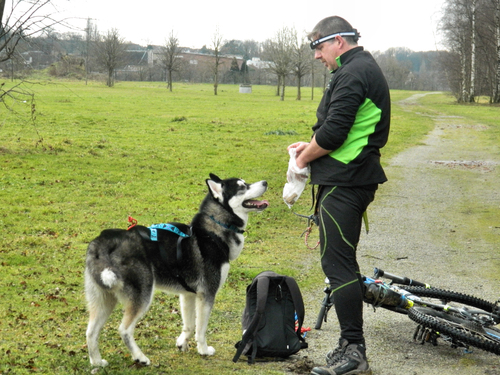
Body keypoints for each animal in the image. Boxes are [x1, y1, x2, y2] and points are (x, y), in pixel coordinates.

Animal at [85, 174, 270, 368]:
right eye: (242, 187)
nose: (265, 182)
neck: (214, 229)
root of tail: (102, 241)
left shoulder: (188, 294)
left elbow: (189, 326)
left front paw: (182, 343)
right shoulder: (207, 294)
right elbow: (201, 329)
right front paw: (203, 350)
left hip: (104, 300)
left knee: (90, 332)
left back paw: (96, 362)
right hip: (141, 296)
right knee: (124, 330)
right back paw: (140, 357)